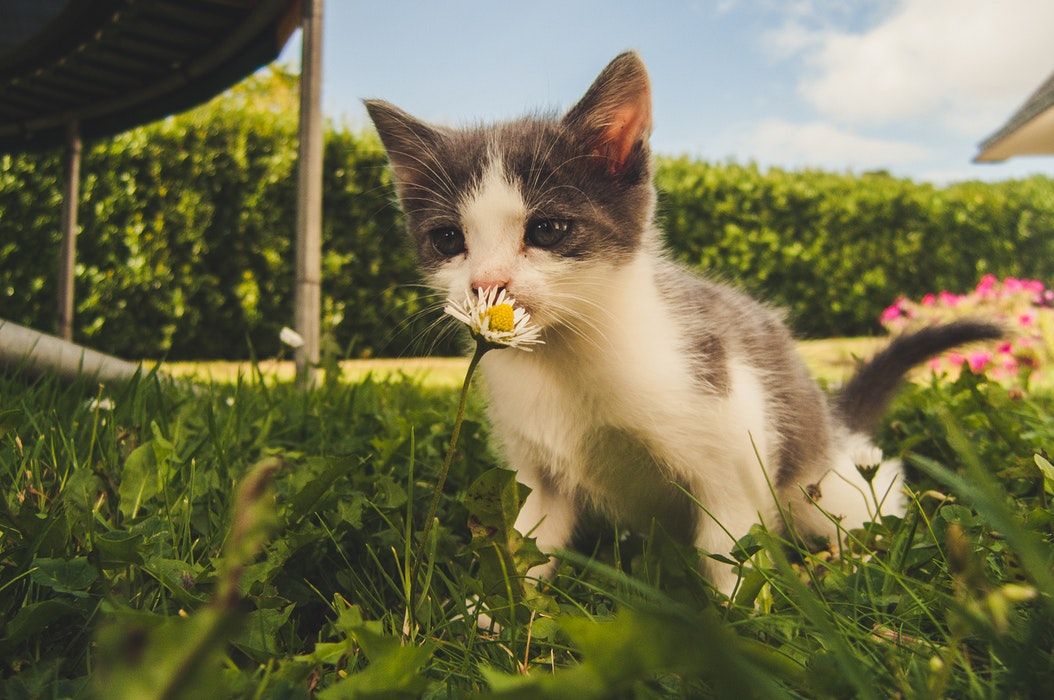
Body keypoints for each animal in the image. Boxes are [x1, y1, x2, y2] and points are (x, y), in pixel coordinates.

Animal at [366, 51, 999, 594]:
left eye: (546, 230)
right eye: (449, 240)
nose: (487, 284)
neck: (567, 357)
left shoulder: (732, 444)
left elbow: (730, 553)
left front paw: (744, 628)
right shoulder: (538, 472)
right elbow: (528, 541)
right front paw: (487, 618)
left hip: (820, 482)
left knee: (868, 496)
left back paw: (853, 561)